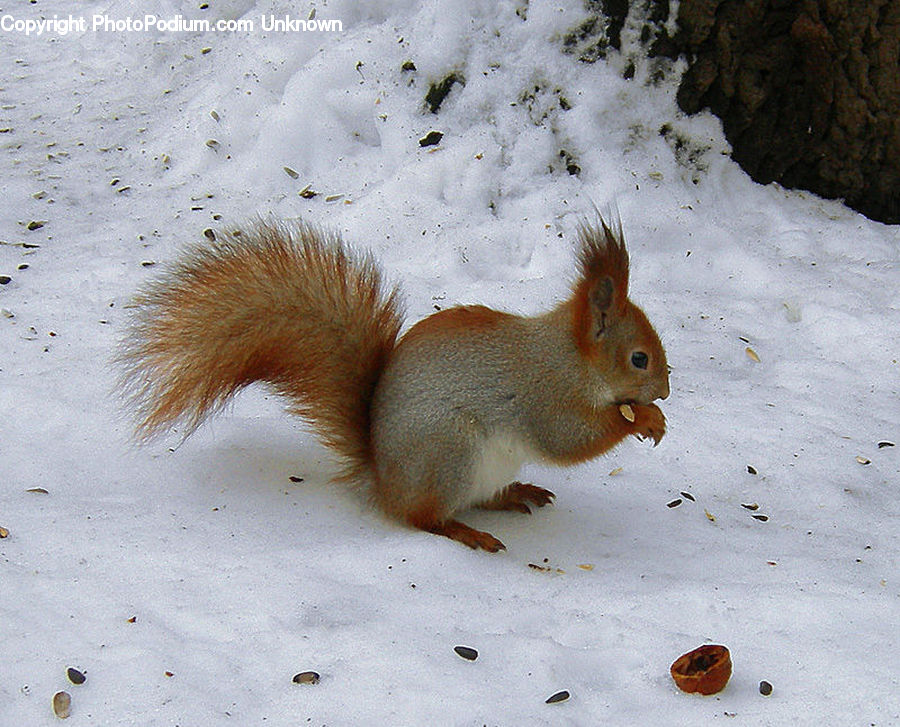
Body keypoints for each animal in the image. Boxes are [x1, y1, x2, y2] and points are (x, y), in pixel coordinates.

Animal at [118, 216, 669, 552]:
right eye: (639, 359)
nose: (664, 391)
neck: (572, 358)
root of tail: (384, 479)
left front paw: (652, 416)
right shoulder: (544, 392)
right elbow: (569, 439)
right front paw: (642, 417)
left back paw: (514, 494)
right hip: (449, 453)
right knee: (423, 518)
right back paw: (467, 532)